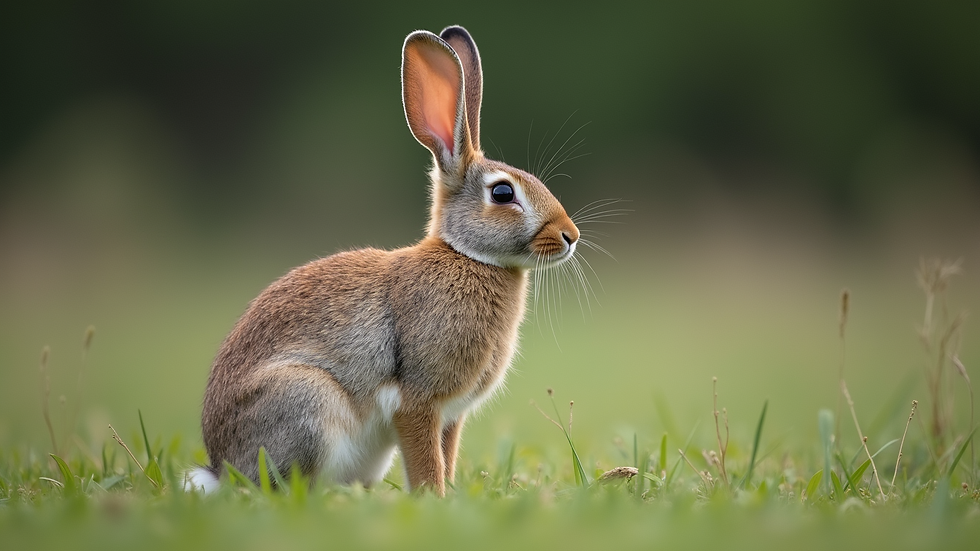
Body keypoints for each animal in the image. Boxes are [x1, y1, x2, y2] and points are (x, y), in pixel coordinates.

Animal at [186, 25, 580, 496]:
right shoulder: (417, 401)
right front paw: (435, 498)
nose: (571, 236)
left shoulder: (452, 415)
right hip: (306, 401)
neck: (467, 256)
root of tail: (220, 468)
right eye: (503, 193)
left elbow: (445, 455)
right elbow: (426, 460)